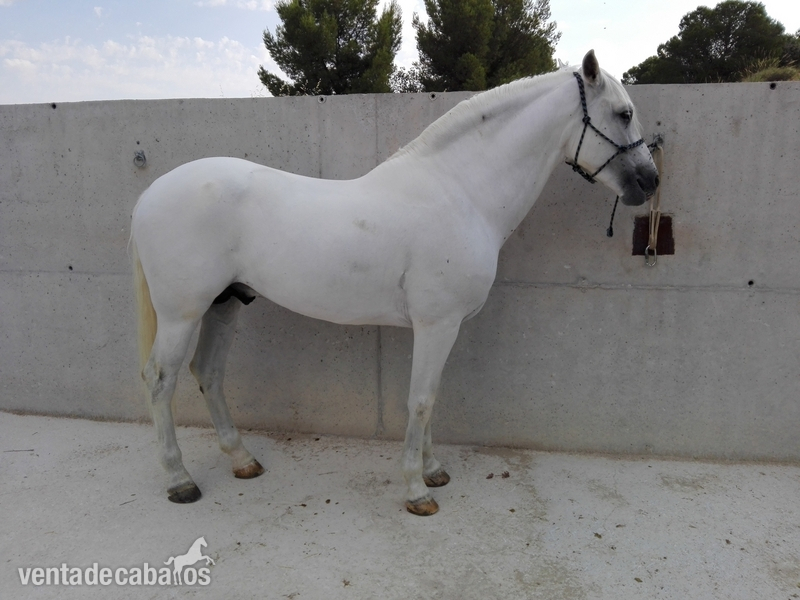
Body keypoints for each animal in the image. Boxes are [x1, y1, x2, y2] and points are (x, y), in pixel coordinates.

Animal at [131, 50, 658, 516]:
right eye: (624, 112)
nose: (649, 181)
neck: (460, 193)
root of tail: (151, 193)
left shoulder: (443, 328)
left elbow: (433, 397)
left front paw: (434, 470)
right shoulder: (436, 324)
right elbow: (420, 401)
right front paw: (417, 491)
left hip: (225, 303)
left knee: (208, 372)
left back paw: (243, 460)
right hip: (182, 313)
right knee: (160, 380)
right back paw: (180, 481)